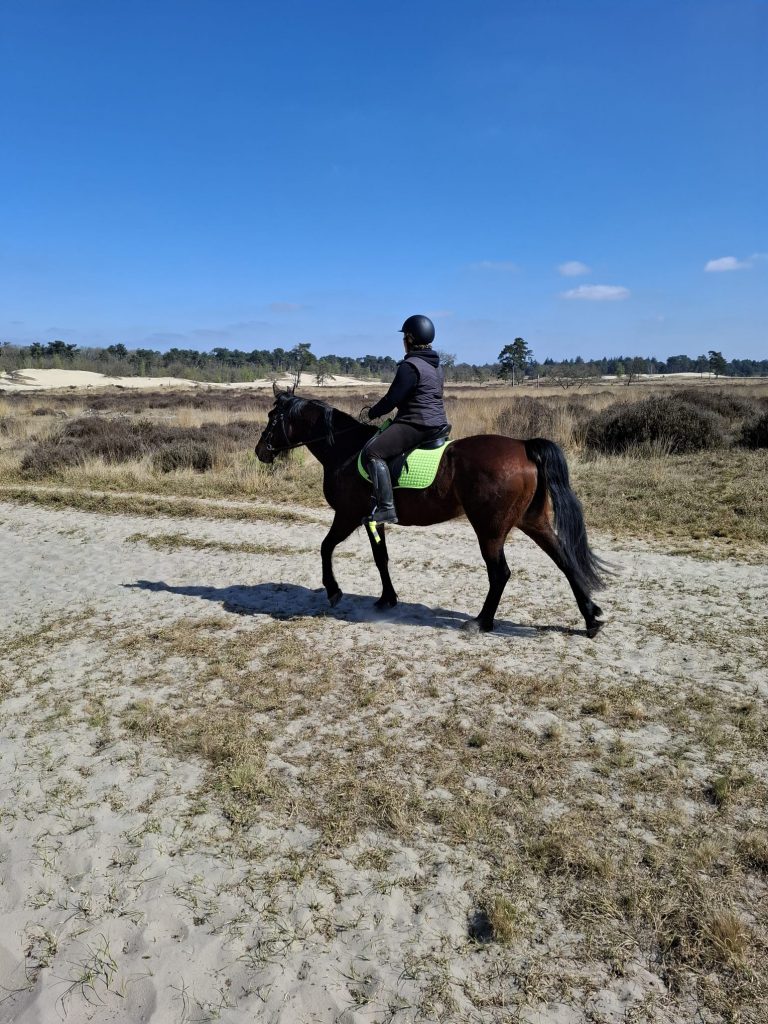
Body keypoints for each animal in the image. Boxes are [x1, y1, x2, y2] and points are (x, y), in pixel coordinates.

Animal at [255, 388, 607, 637]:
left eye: (273, 417)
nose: (260, 452)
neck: (345, 450)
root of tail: (524, 446)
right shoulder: (373, 520)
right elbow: (380, 558)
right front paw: (387, 599)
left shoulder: (347, 515)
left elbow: (325, 547)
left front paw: (333, 591)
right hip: (533, 521)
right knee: (564, 560)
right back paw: (591, 618)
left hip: (490, 529)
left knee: (500, 573)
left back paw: (481, 622)